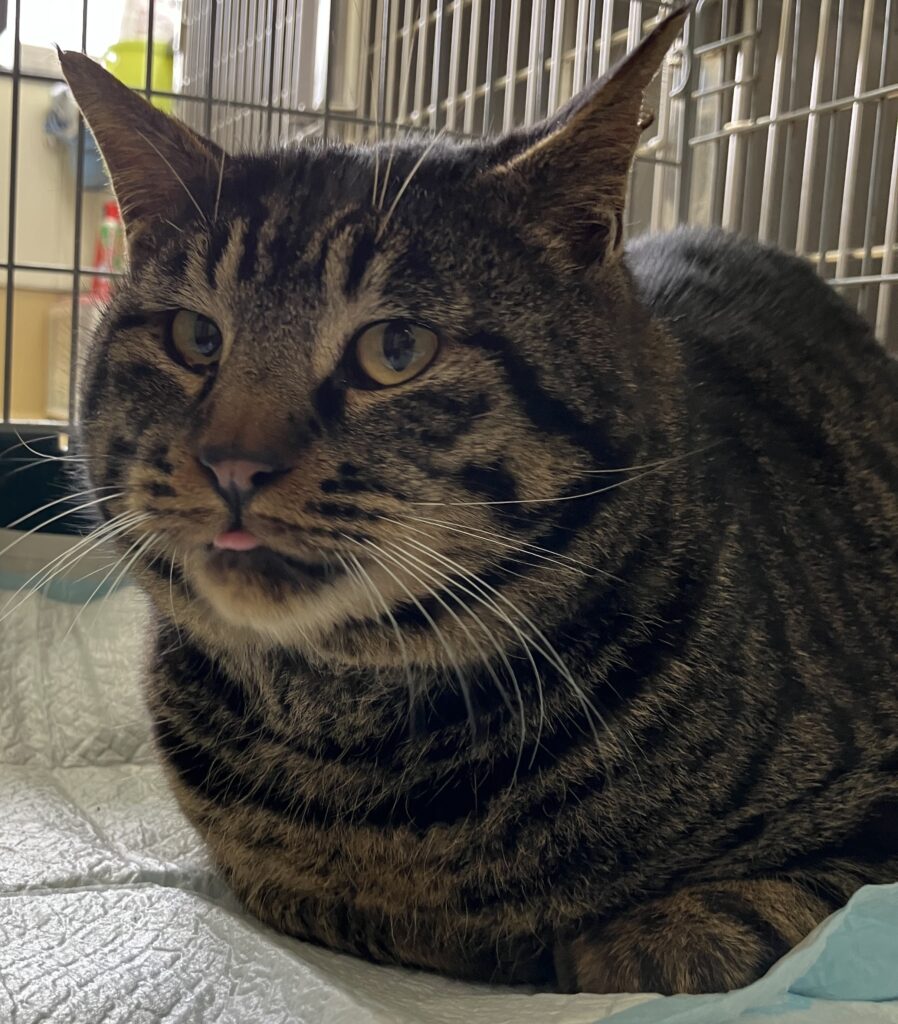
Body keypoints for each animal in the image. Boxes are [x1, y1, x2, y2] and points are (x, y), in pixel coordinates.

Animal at [59, 2, 898, 995]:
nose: (232, 462)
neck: (346, 748)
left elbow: (782, 907)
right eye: (196, 336)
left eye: (397, 349)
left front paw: (654, 936)